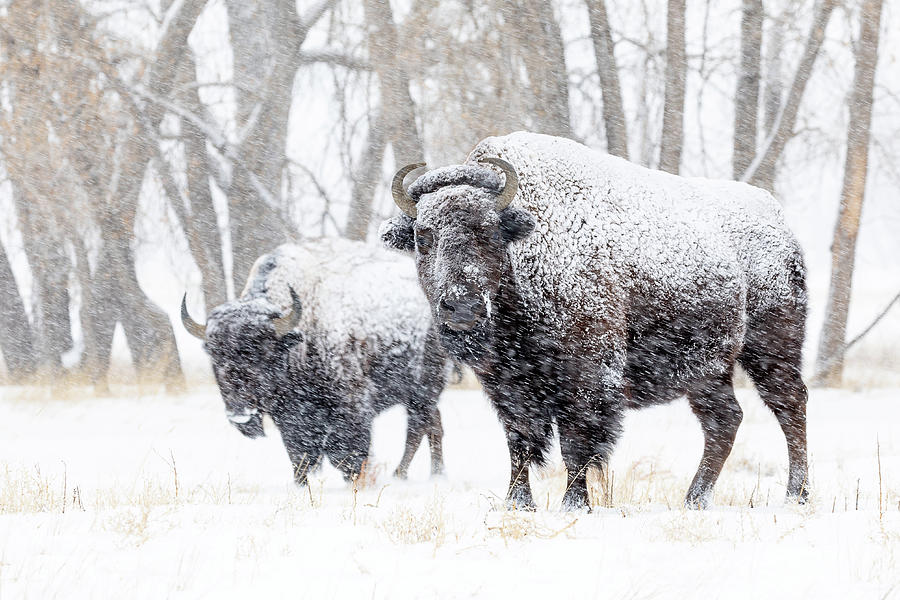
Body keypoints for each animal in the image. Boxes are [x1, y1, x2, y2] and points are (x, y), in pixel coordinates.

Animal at [183, 238, 450, 482]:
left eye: (264, 351)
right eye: (213, 353)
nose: (241, 417)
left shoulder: (352, 405)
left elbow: (346, 454)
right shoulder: (289, 418)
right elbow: (301, 457)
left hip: (424, 389)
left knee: (418, 427)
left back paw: (406, 474)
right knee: (432, 425)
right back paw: (432, 474)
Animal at [380, 131, 808, 510]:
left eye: (489, 231)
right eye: (423, 236)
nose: (461, 306)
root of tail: (780, 225)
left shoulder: (586, 378)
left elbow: (577, 444)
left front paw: (575, 505)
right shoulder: (506, 385)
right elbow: (520, 443)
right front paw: (517, 504)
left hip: (771, 349)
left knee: (790, 407)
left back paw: (796, 495)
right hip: (708, 371)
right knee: (724, 420)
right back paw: (695, 500)